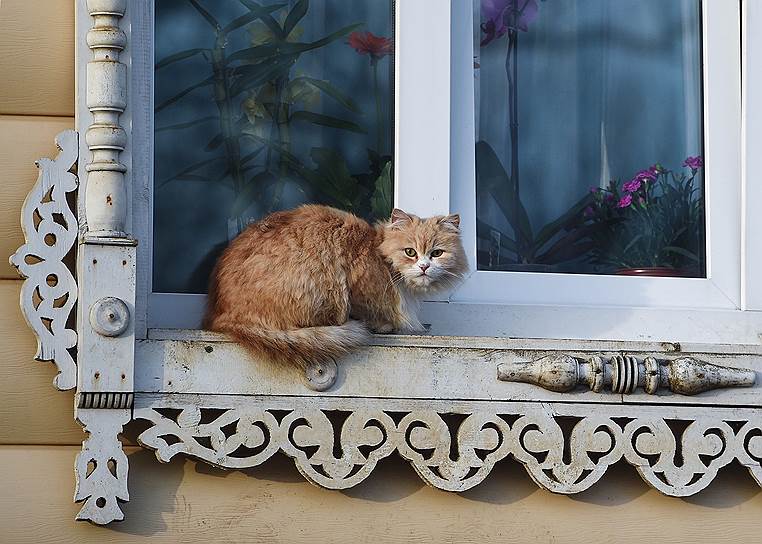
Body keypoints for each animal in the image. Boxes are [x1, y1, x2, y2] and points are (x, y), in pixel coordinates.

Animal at [203, 205, 464, 370]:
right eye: (410, 252)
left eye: (437, 253)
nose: (424, 266)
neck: (379, 253)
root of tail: (221, 315)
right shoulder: (358, 286)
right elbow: (370, 311)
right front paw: (385, 325)